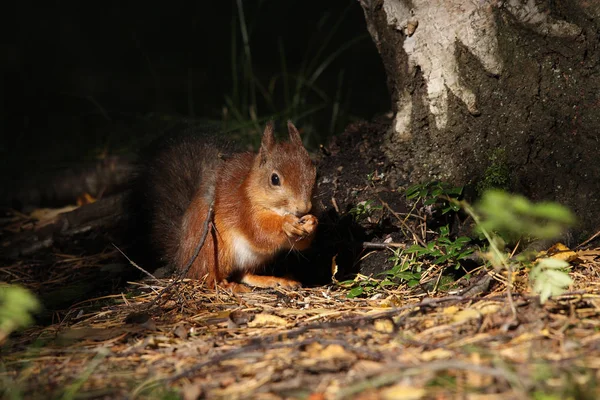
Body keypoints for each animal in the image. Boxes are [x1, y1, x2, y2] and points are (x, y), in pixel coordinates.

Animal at [146, 120, 318, 290]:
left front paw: (312, 222)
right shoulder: (243, 208)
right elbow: (259, 231)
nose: (303, 208)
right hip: (212, 247)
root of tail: (182, 257)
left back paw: (273, 280)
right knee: (208, 278)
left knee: (243, 274)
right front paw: (286, 223)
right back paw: (227, 285)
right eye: (274, 179)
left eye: (314, 173)